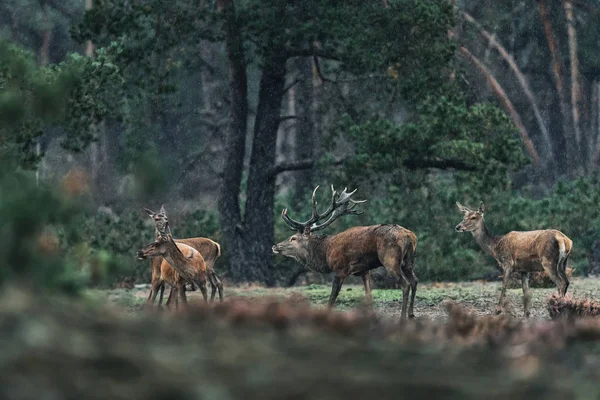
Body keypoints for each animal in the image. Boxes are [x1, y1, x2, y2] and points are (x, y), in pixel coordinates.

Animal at [272, 184, 418, 318]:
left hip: (390, 260)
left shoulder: (339, 270)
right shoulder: (364, 270)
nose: (275, 246)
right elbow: (369, 296)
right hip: (408, 261)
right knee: (415, 280)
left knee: (405, 284)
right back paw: (411, 314)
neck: (325, 253)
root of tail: (410, 236)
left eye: (293, 238)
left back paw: (402, 317)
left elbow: (332, 299)